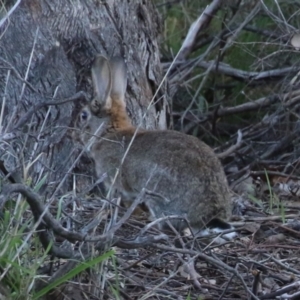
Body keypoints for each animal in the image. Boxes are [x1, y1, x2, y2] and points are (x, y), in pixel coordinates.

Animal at [72, 55, 234, 239]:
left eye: (83, 116)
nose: (73, 136)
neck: (109, 132)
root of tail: (210, 215)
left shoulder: (114, 180)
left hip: (156, 195)